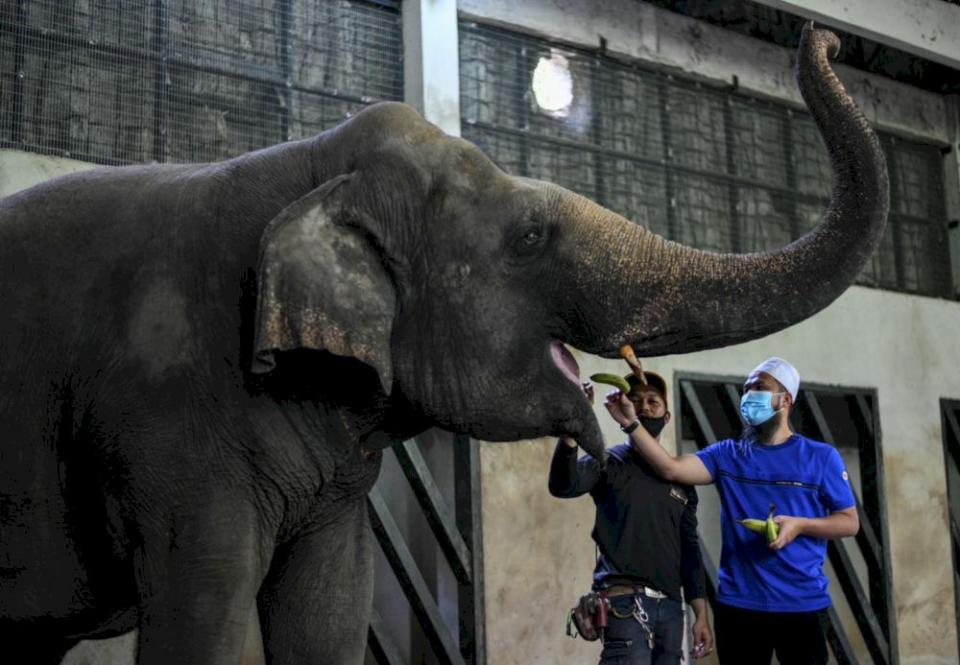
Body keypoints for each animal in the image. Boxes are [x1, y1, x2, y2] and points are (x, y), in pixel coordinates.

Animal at [0, 22, 884, 664]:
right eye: (529, 237)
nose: (828, 37)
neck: (304, 163)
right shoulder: (168, 427)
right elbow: (203, 613)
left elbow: (330, 608)